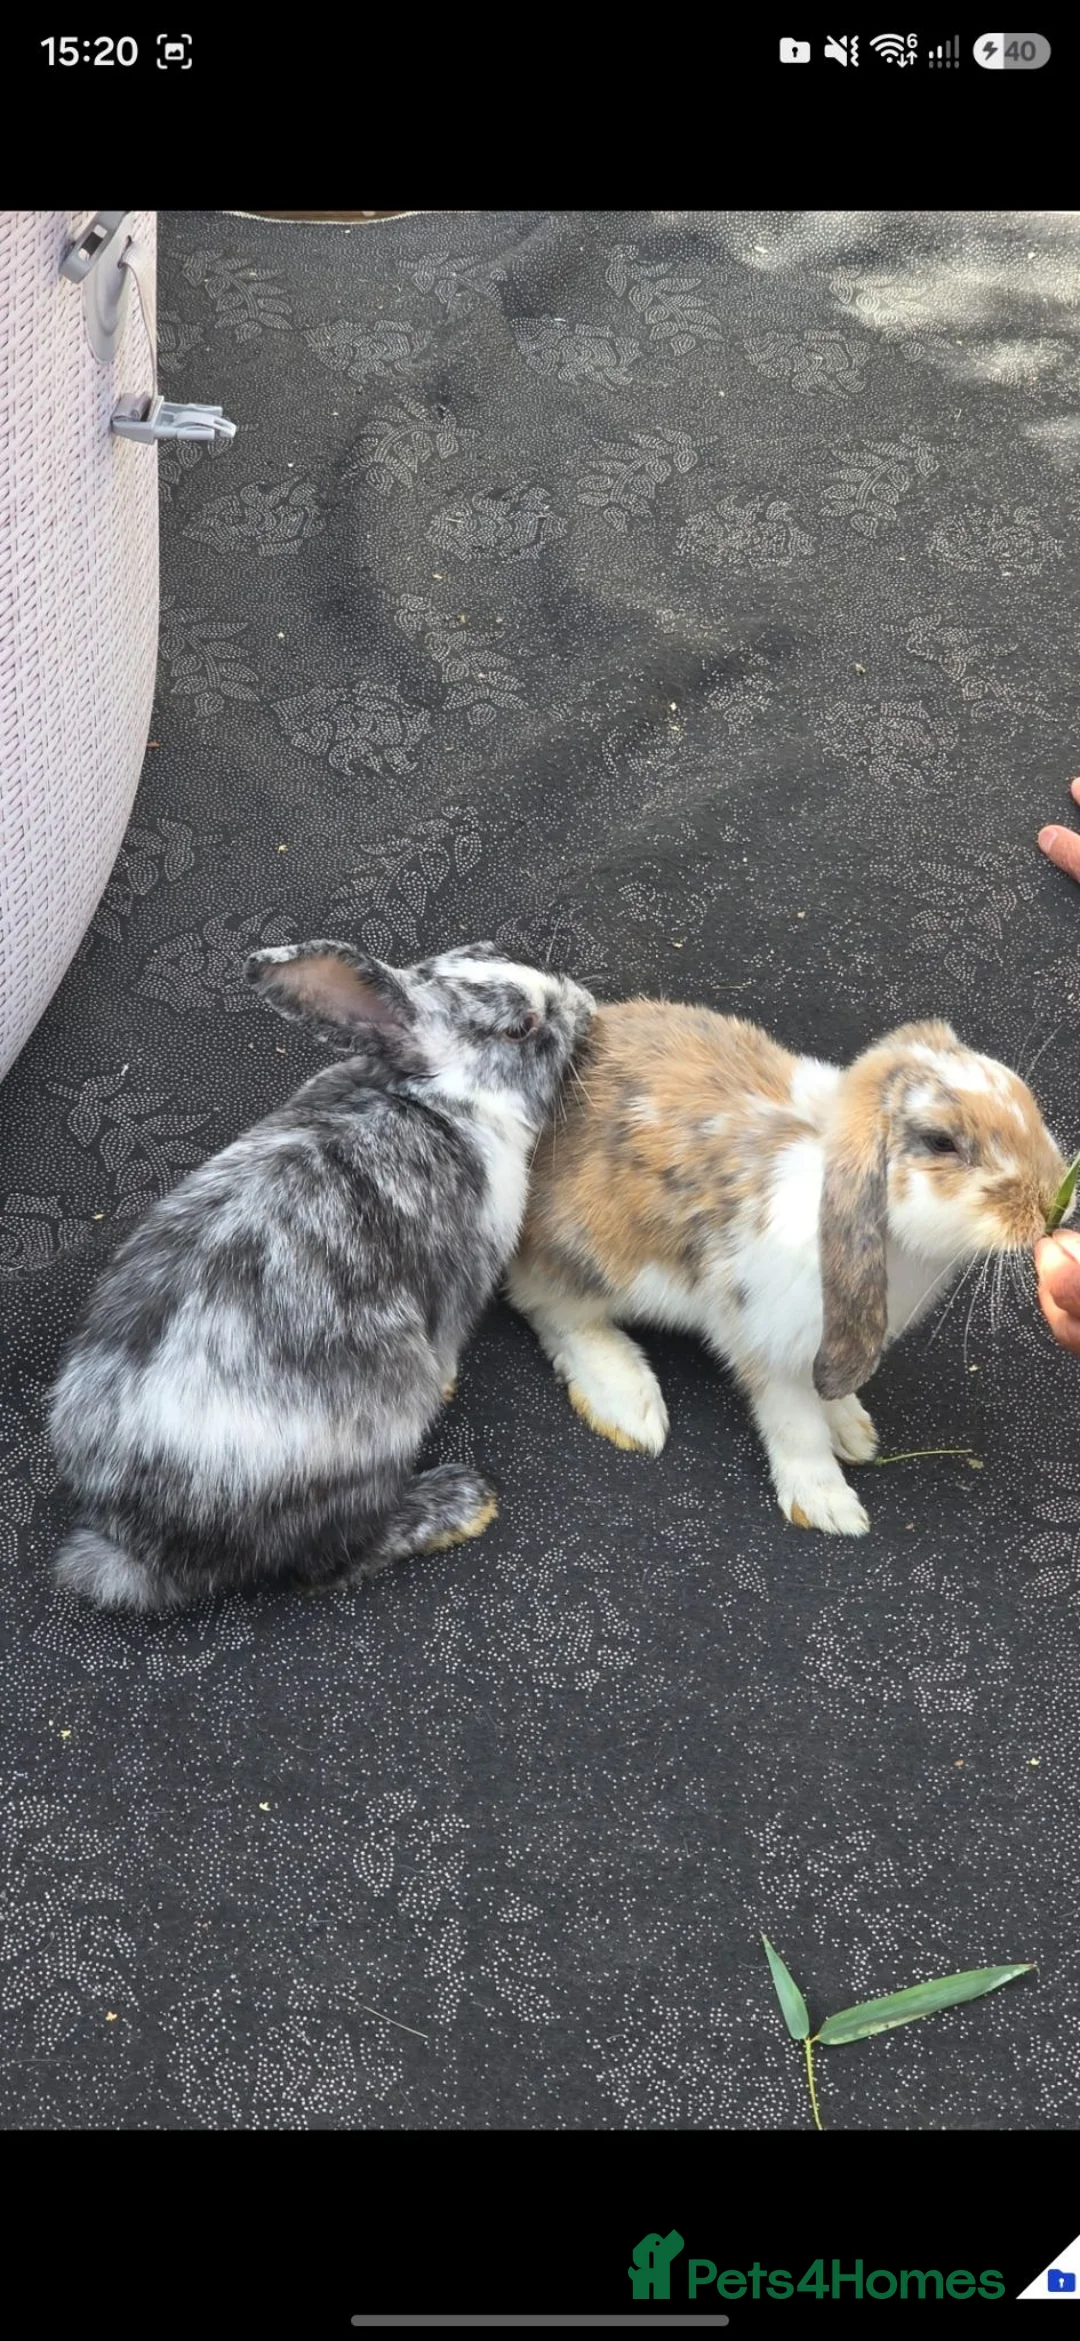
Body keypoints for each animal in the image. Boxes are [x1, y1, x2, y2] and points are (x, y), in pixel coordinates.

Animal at [49, 940, 595, 1610]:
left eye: (486, 951)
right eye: (521, 1027)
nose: (585, 1006)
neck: (437, 1100)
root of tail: (139, 1543)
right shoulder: (462, 1278)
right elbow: (448, 1344)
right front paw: (449, 1390)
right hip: (377, 1423)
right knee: (328, 1561)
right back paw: (459, 1505)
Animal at [508, 1003, 1070, 1536]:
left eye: (1024, 1097)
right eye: (941, 1143)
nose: (1052, 1203)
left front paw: (851, 1428)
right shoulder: (769, 1339)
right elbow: (797, 1427)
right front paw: (826, 1505)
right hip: (596, 1260)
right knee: (549, 1308)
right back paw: (626, 1402)